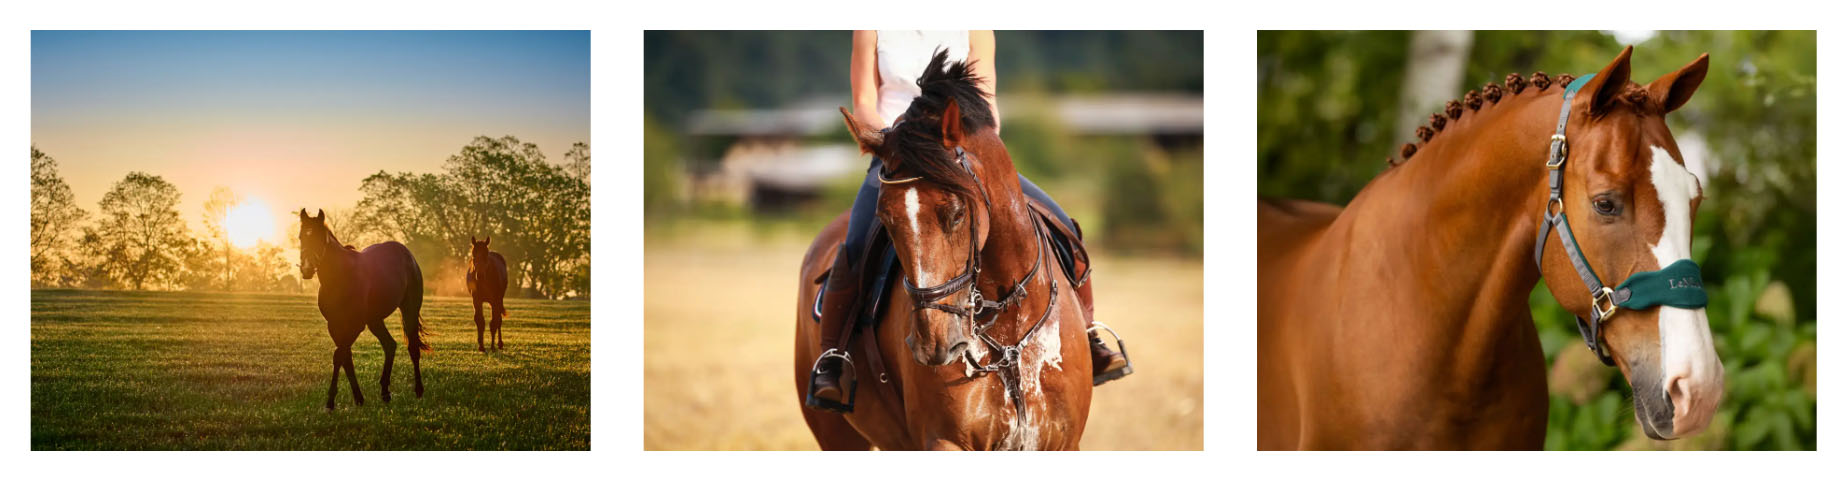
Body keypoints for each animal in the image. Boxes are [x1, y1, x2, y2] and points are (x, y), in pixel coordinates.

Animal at [297, 208, 430, 410]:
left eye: (320, 238)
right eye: (301, 237)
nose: (306, 268)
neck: (340, 277)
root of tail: (407, 255)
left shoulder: (355, 325)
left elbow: (339, 355)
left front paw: (330, 401)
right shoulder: (334, 325)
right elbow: (346, 358)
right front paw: (358, 398)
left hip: (409, 310)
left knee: (412, 347)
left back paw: (419, 390)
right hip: (374, 320)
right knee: (390, 345)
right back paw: (385, 392)